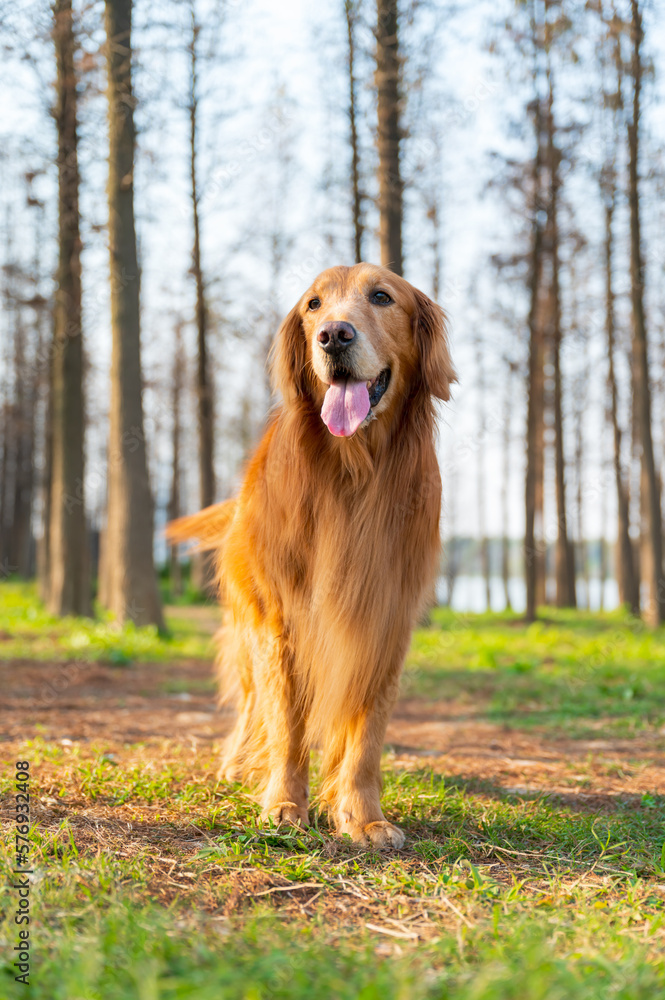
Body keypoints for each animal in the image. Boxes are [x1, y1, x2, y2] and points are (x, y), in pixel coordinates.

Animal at [169, 262, 454, 848]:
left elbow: (365, 735)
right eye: (313, 305)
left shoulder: (385, 621)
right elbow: (287, 725)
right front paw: (284, 805)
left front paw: (362, 815)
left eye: (382, 297)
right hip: (247, 628)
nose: (334, 336)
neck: (350, 472)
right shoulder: (279, 621)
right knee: (252, 704)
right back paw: (237, 763)